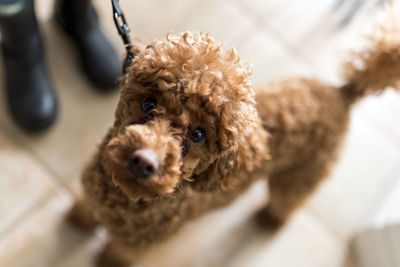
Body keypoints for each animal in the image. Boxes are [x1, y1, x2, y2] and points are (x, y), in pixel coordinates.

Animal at [68, 15, 400, 266]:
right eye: (148, 103)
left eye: (199, 135)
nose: (143, 161)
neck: (122, 198)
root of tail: (344, 92)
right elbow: (86, 209)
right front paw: (78, 218)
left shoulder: (136, 243)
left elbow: (118, 253)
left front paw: (105, 260)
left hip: (301, 175)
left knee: (289, 199)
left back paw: (271, 219)